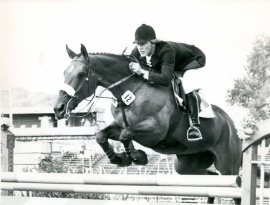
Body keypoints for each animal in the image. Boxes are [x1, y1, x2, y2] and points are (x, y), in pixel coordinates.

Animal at [53, 44, 242, 204]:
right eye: (64, 73)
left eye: (80, 74)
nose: (59, 109)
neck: (131, 89)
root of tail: (232, 126)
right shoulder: (120, 125)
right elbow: (102, 135)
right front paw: (119, 158)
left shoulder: (157, 131)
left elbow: (126, 134)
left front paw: (136, 156)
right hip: (187, 164)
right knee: (211, 180)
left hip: (228, 166)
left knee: (234, 188)